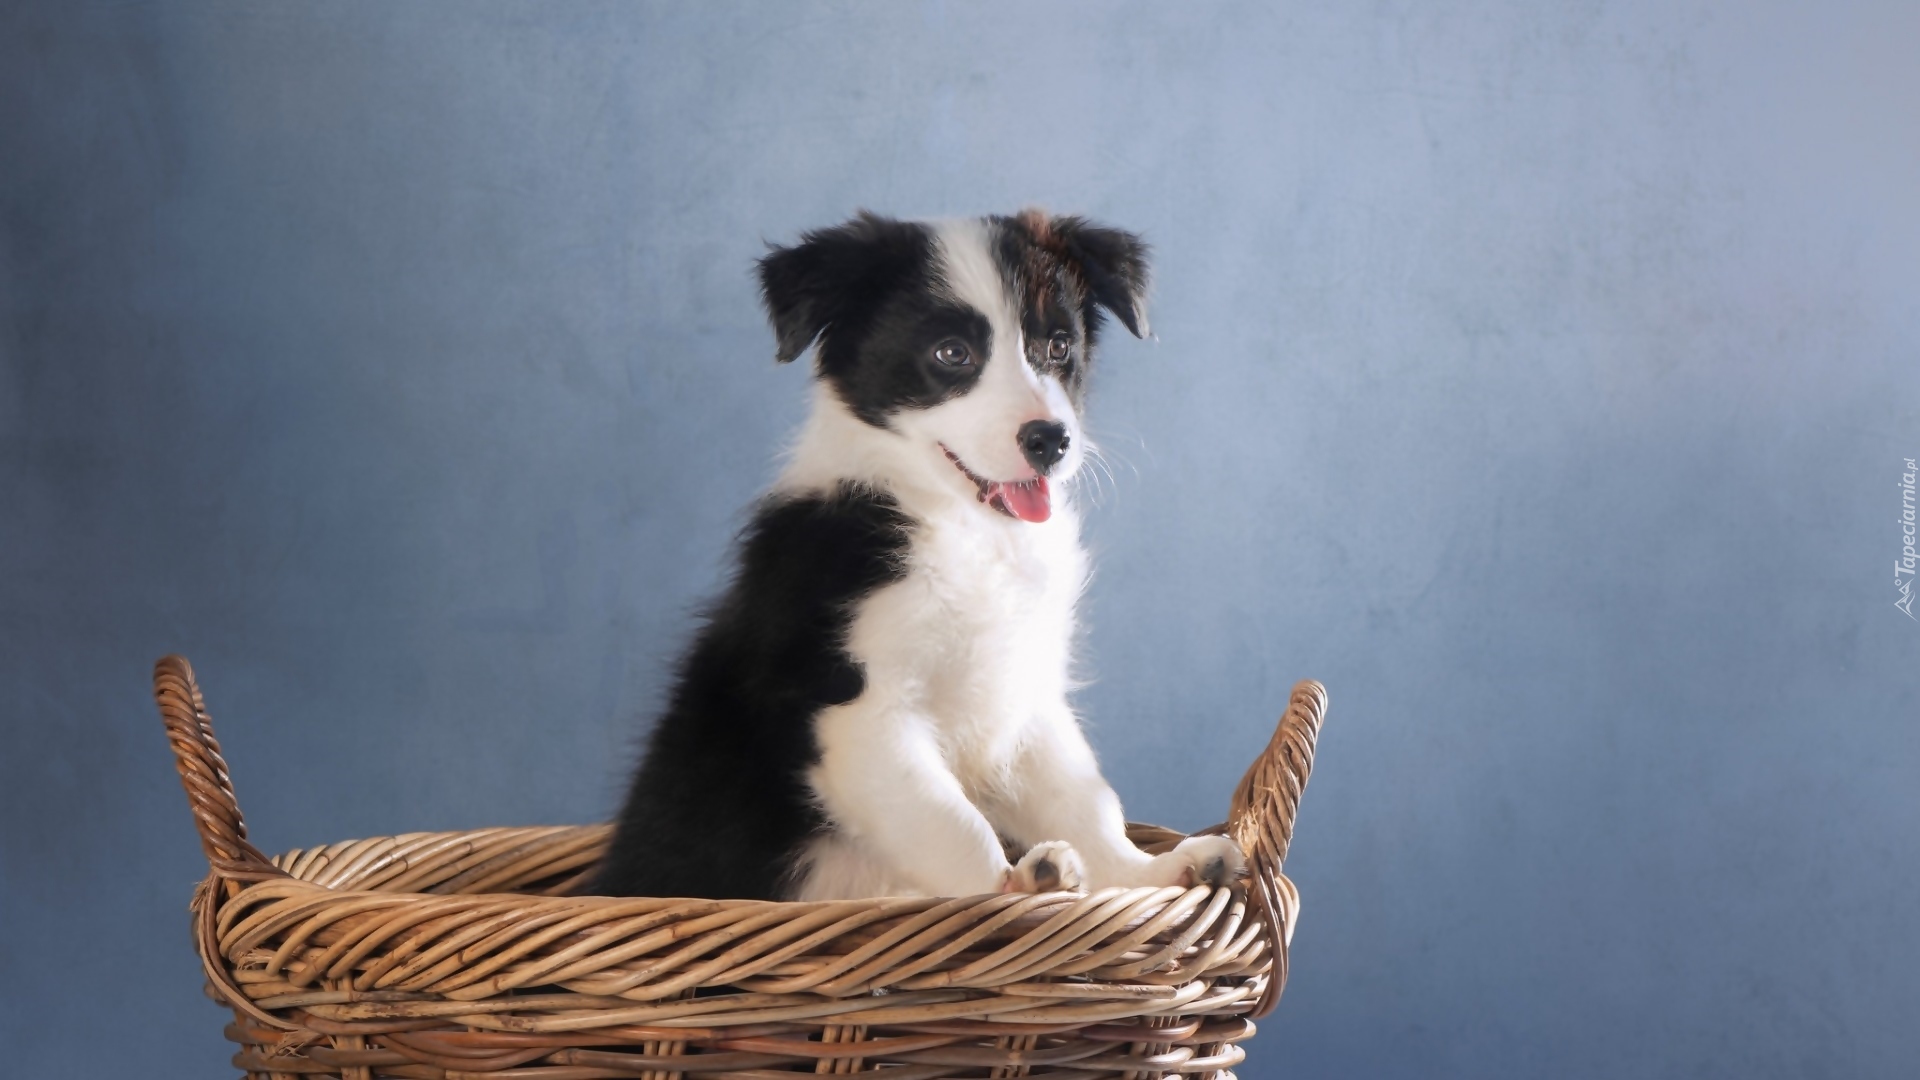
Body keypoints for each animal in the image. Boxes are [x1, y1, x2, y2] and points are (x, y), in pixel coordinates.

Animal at [595, 210, 1244, 899]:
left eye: (1059, 346)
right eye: (952, 353)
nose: (1051, 440)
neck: (967, 530)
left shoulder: (1025, 691)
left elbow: (1082, 797)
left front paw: (1146, 872)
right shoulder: (858, 712)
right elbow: (952, 825)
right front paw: (1013, 886)